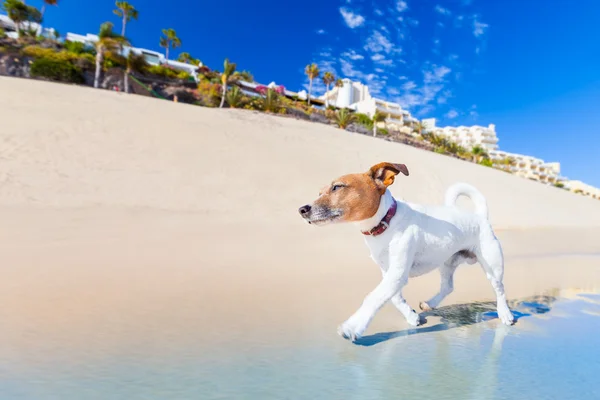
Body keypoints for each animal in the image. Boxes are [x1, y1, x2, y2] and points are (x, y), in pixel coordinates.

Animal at [298, 162, 512, 340]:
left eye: (337, 187)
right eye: (319, 192)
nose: (302, 209)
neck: (386, 221)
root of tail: (480, 216)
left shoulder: (397, 273)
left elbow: (373, 297)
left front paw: (353, 326)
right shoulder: (389, 272)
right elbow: (394, 297)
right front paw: (412, 317)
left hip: (492, 264)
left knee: (499, 289)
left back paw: (506, 314)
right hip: (446, 262)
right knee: (448, 286)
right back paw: (430, 303)